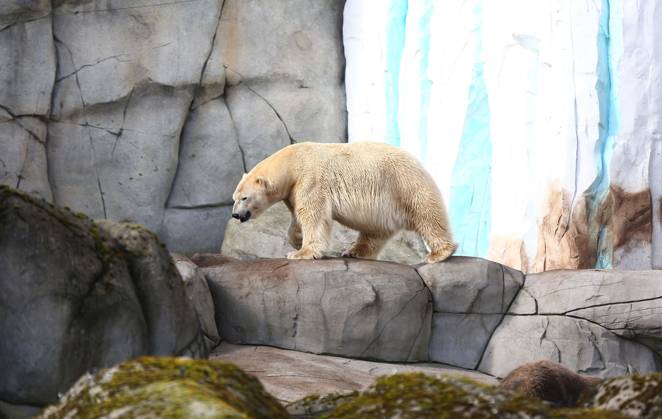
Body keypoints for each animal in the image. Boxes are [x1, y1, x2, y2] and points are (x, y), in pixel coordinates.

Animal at [231, 141, 457, 263]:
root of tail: (418, 163)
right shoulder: (295, 189)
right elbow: (297, 216)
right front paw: (296, 241)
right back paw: (354, 251)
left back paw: (439, 253)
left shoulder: (311, 179)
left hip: (403, 183)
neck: (294, 162)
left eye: (244, 198)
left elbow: (313, 215)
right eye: (234, 198)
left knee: (427, 213)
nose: (235, 214)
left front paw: (300, 253)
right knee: (375, 231)